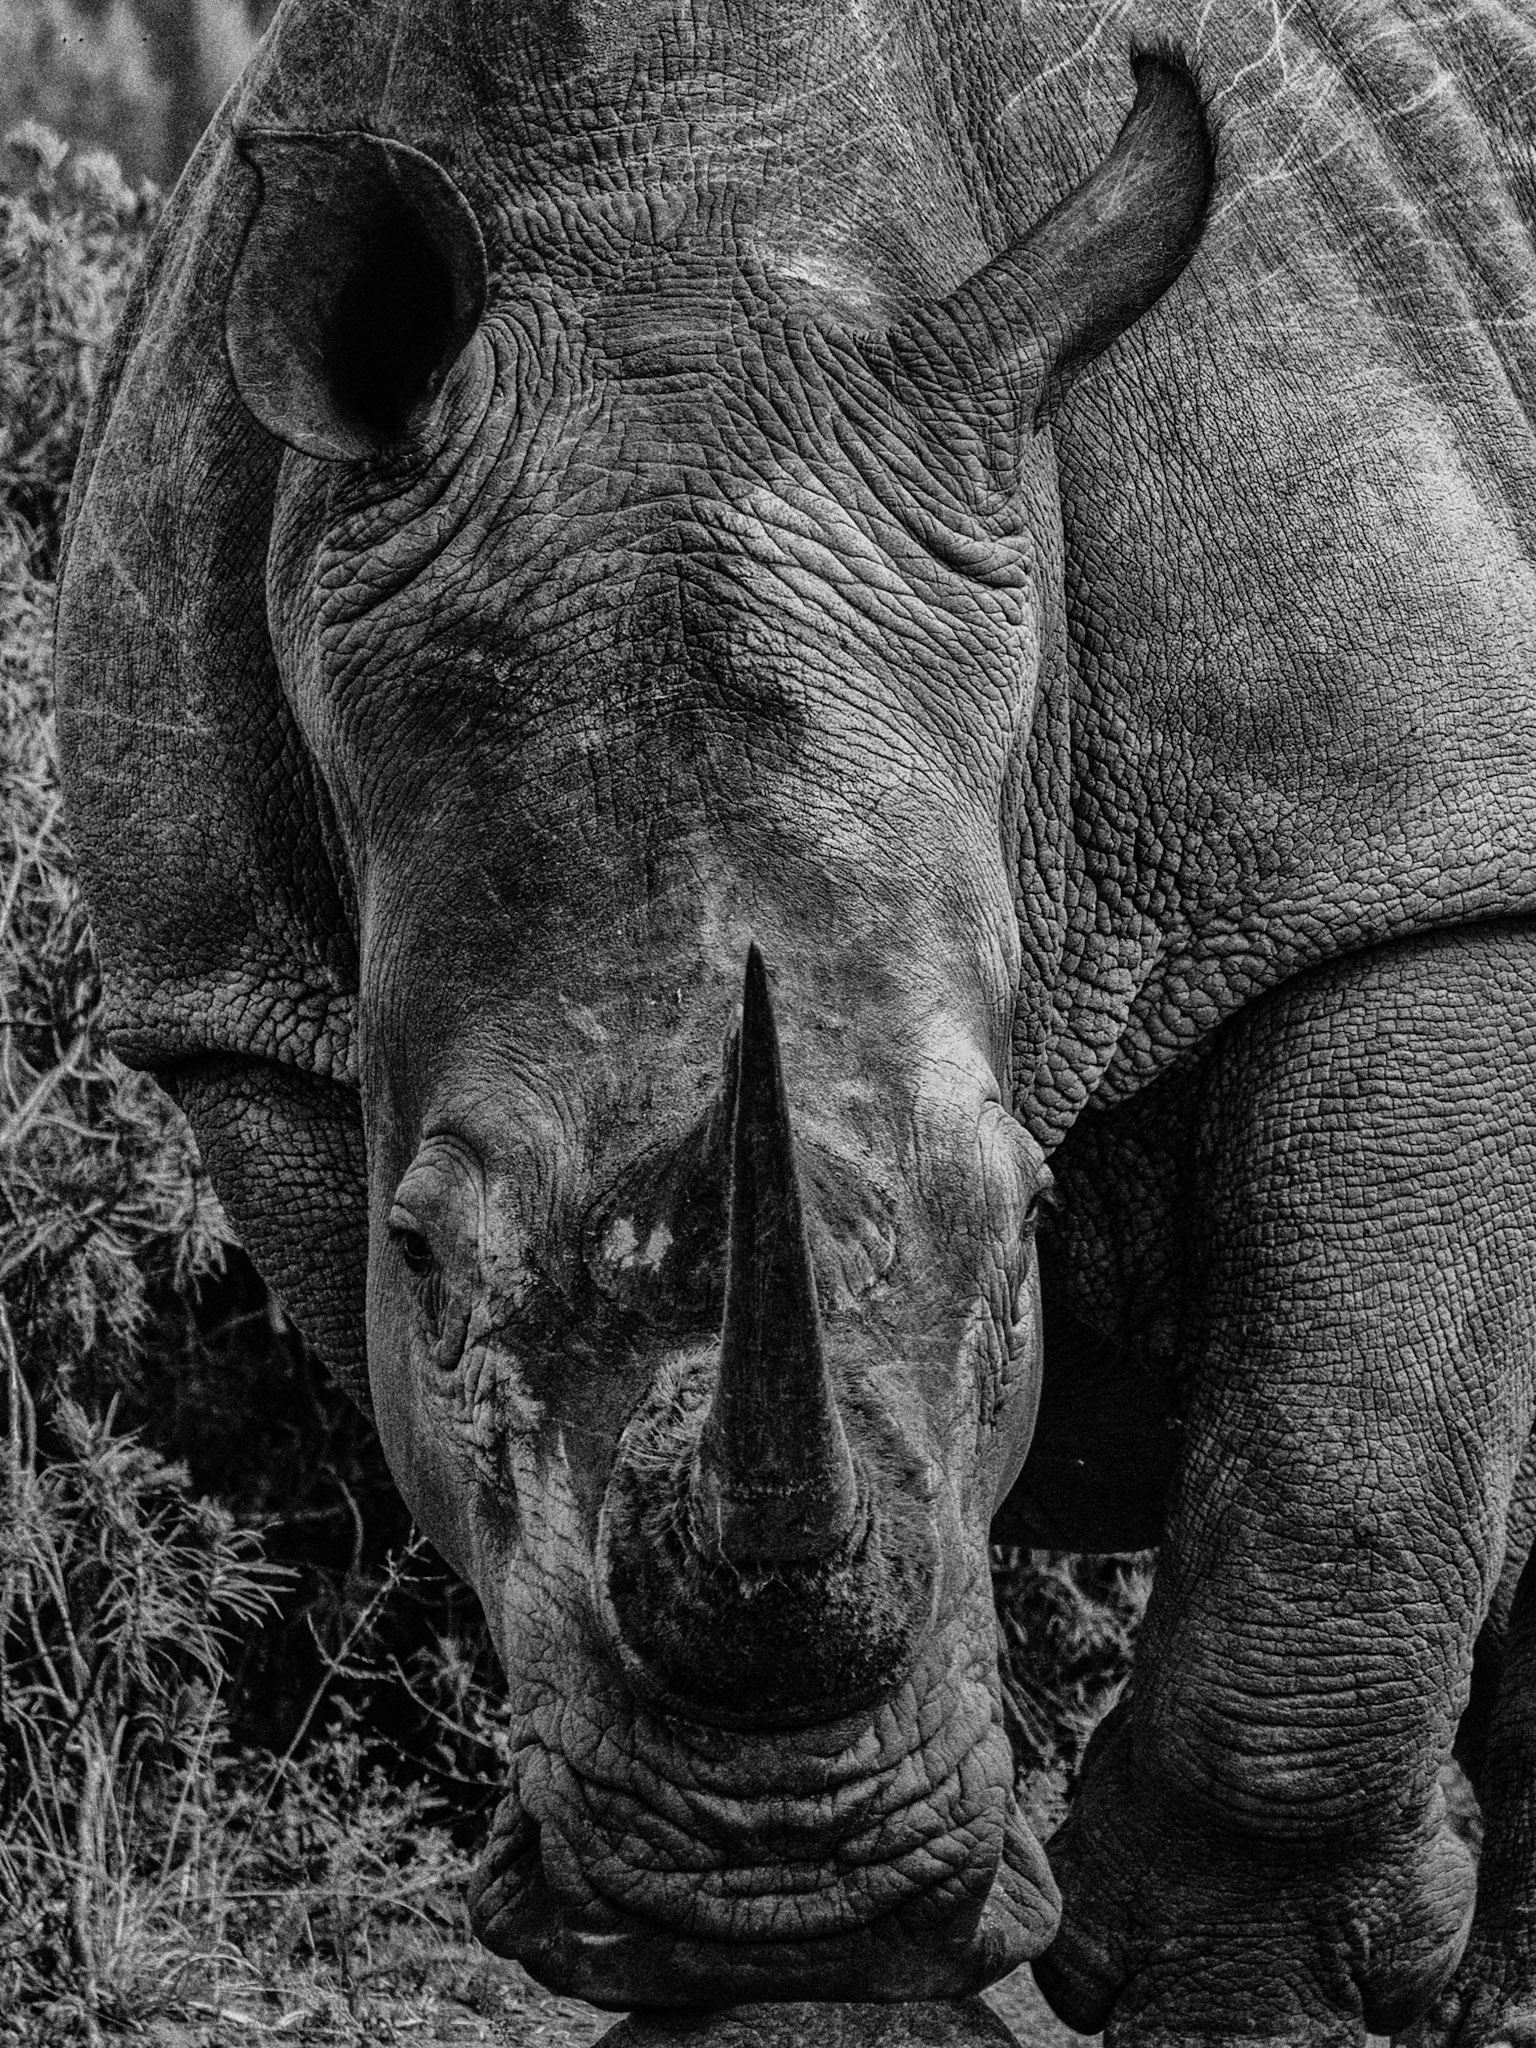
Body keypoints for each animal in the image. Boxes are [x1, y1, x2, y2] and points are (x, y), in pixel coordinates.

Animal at [51, 0, 1536, 2039]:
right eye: (418, 1256)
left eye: (1022, 1233)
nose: (787, 1873)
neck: (676, 237)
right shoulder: (232, 1004)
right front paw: (801, 2004)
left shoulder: (1410, 846)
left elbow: (1343, 1488)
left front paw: (1235, 1996)